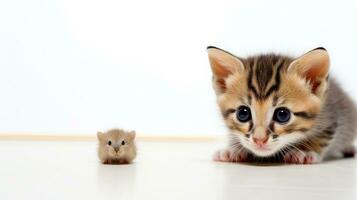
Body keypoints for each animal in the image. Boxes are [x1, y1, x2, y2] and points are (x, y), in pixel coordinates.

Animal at [207, 47, 354, 164]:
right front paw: (233, 150)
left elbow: (322, 137)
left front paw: (305, 150)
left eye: (282, 115)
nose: (259, 140)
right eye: (242, 113)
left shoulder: (331, 116)